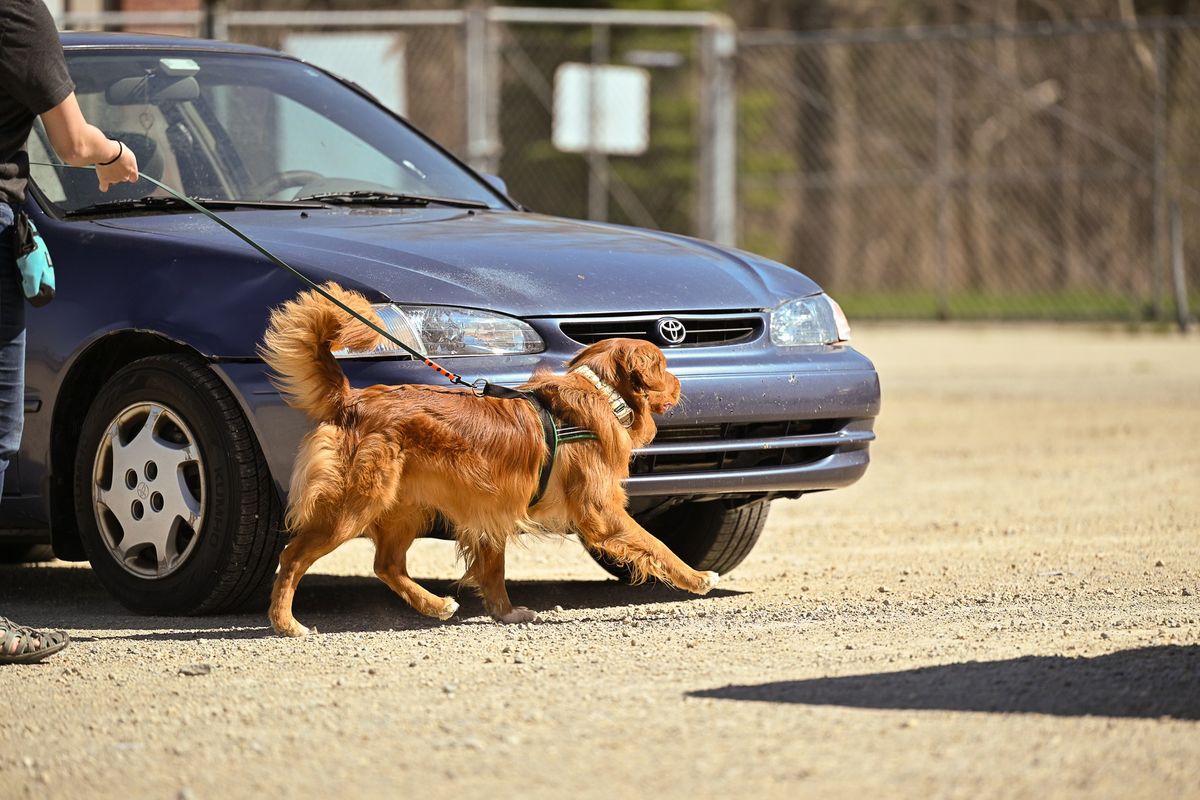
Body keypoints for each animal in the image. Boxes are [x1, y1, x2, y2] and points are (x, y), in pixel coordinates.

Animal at [258, 284, 715, 633]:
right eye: (663, 366)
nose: (680, 381)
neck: (602, 393)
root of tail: (351, 400)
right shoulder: (600, 512)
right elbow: (655, 544)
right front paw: (695, 577)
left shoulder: (492, 508)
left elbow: (493, 570)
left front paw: (505, 613)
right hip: (354, 506)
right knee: (293, 558)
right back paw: (286, 623)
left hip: (405, 506)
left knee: (386, 565)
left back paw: (434, 605)